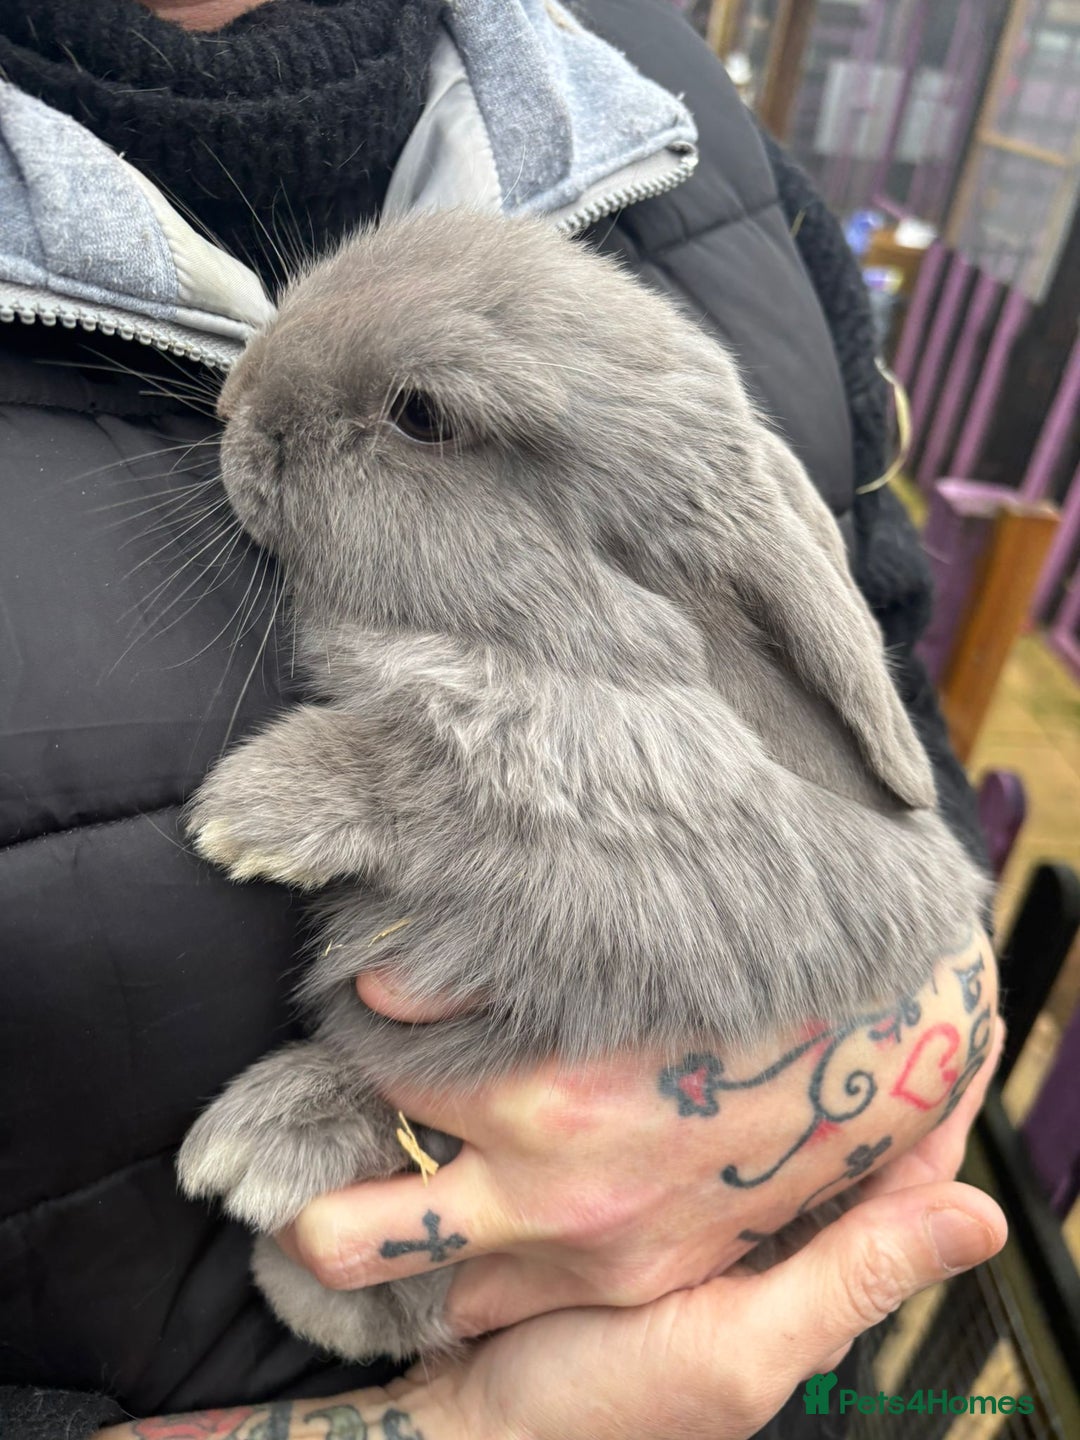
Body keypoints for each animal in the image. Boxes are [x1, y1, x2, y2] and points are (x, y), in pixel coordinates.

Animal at [177, 209, 988, 1362]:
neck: (577, 646)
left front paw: (250, 813)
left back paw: (260, 1159)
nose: (235, 406)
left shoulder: (598, 845)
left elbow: (443, 773)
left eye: (421, 416)